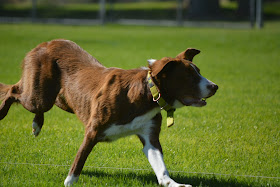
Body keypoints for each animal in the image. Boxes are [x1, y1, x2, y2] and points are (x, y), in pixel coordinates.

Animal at [0, 38, 219, 186]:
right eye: (190, 76)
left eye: (199, 71)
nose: (215, 86)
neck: (147, 94)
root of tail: (45, 43)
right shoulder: (93, 130)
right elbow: (79, 160)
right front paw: (69, 182)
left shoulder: (150, 135)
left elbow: (160, 166)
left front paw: (174, 183)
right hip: (39, 96)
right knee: (13, 90)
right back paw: (6, 112)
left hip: (63, 99)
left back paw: (37, 125)